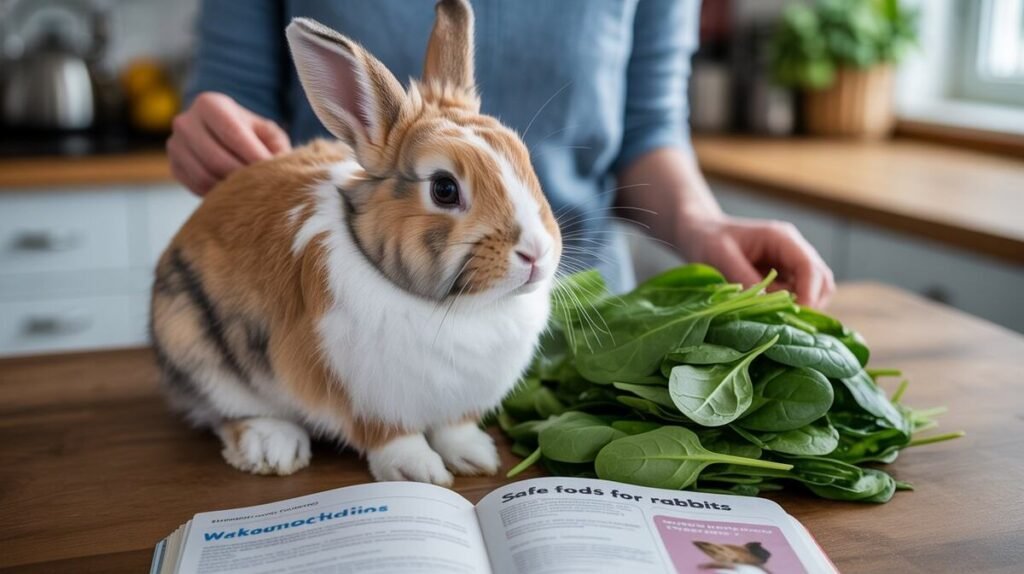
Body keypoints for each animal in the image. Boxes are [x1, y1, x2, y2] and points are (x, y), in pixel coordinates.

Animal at [149, 0, 561, 486]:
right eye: (444, 189)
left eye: (524, 159)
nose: (536, 253)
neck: (458, 308)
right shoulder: (364, 399)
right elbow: (391, 437)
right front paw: (420, 474)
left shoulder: (457, 404)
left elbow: (455, 429)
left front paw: (476, 458)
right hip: (196, 345)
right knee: (224, 411)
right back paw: (273, 447)